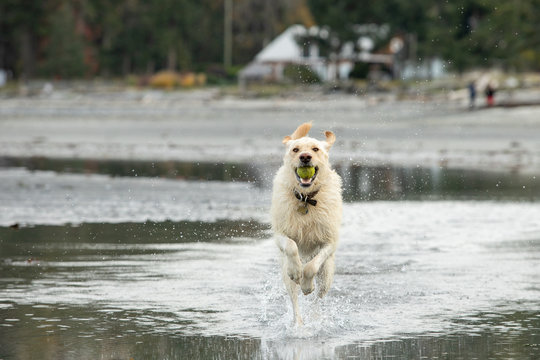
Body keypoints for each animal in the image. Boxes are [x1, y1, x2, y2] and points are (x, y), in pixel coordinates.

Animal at [270, 122, 342, 324]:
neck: (306, 199)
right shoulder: (280, 233)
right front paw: (297, 271)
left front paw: (307, 285)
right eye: (295, 149)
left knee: (319, 297)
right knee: (294, 298)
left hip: (327, 274)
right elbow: (291, 246)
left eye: (315, 149)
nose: (305, 157)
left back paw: (315, 317)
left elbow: (311, 267)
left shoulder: (329, 242)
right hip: (285, 275)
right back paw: (298, 325)